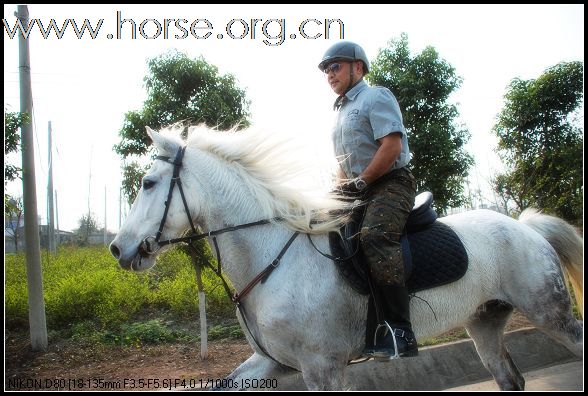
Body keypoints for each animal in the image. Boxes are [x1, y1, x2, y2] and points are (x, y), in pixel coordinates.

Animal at [110, 125, 584, 392]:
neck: (273, 258)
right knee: (508, 378)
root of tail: (526, 227)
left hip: (551, 312)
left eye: (149, 183)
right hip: (485, 321)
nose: (119, 249)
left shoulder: (323, 366)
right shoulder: (272, 361)